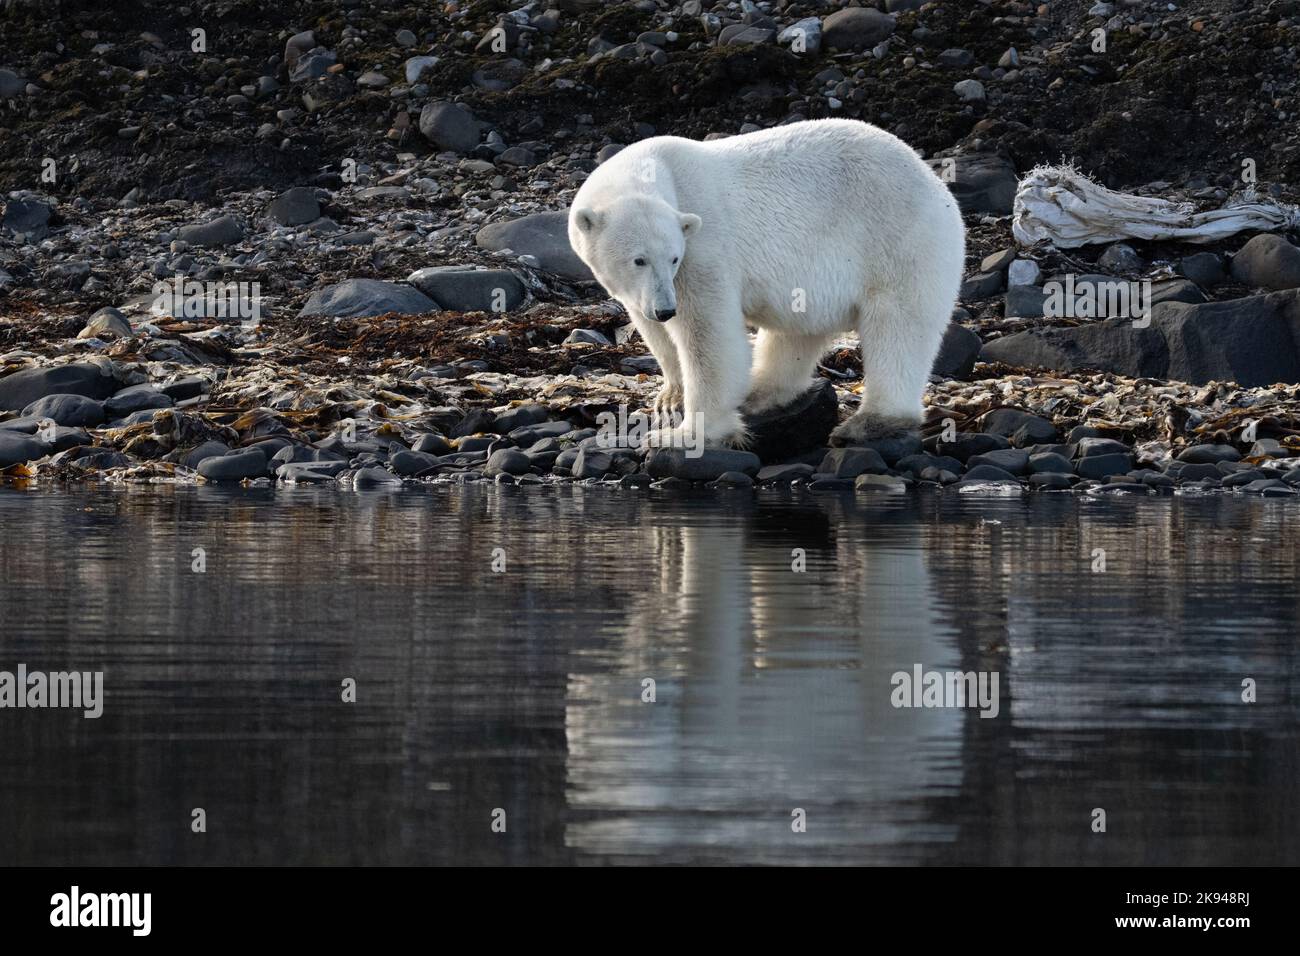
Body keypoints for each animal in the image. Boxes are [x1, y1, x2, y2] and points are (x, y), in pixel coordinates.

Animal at [566, 119, 967, 447]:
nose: (665, 309)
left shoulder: (704, 250)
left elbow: (707, 336)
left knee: (899, 327)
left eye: (674, 257)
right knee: (796, 333)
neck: (658, 169)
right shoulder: (642, 290)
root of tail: (935, 182)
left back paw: (869, 423)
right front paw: (671, 397)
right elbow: (656, 334)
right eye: (639, 259)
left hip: (900, 239)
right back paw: (760, 392)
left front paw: (684, 435)